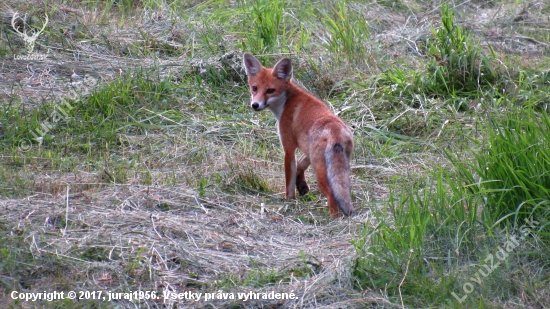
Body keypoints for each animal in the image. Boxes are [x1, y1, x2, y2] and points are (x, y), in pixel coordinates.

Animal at [244, 53, 356, 217]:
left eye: (270, 90)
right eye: (254, 88)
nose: (255, 105)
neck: (287, 101)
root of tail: (334, 130)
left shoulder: (289, 148)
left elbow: (289, 180)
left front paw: (289, 200)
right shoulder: (307, 149)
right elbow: (300, 165)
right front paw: (302, 185)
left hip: (320, 171)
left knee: (331, 195)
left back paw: (334, 218)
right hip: (339, 165)